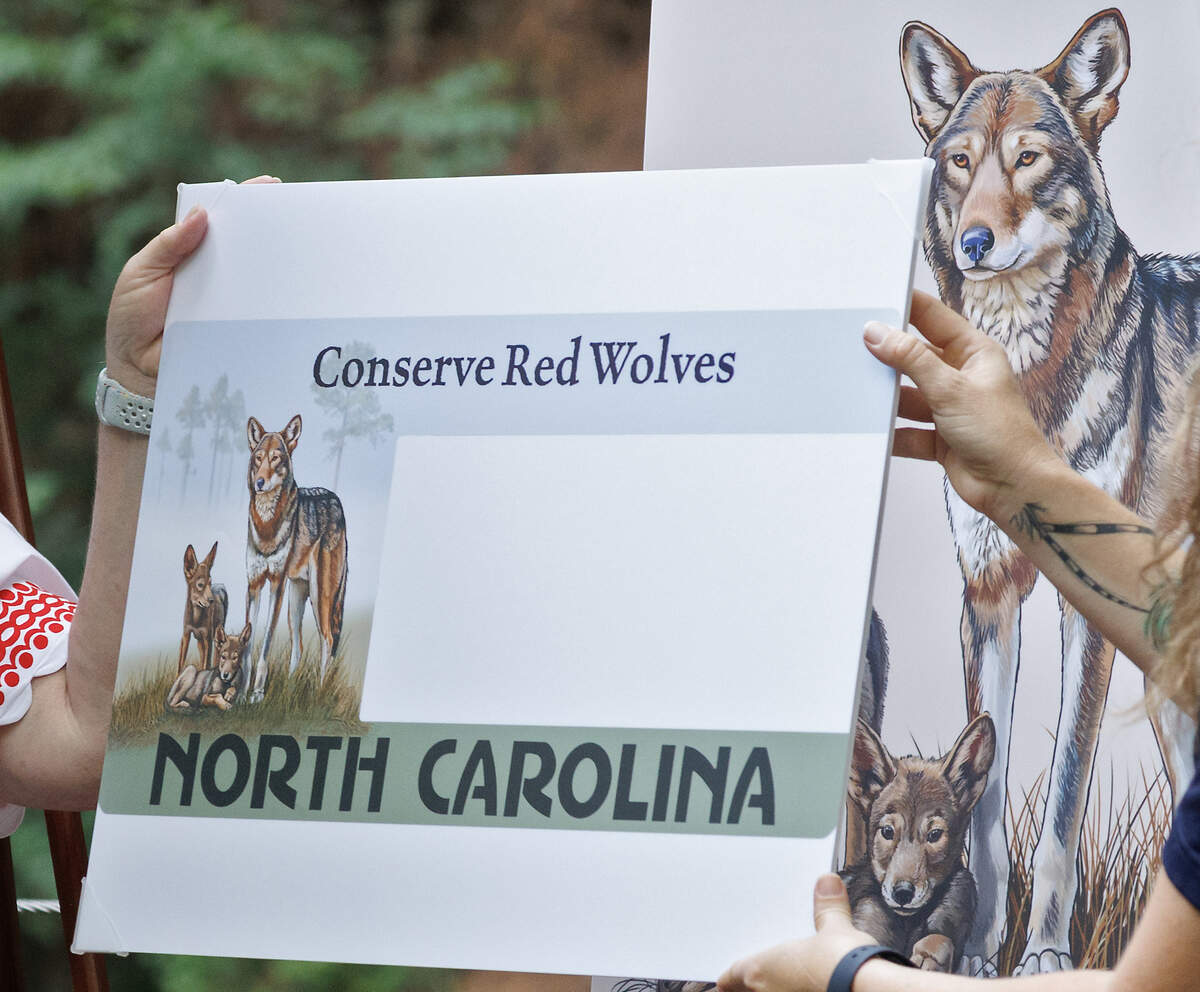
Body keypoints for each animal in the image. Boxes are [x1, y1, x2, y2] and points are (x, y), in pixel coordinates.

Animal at [178, 541, 228, 674]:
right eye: (200, 585)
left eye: (210, 583)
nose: (211, 600)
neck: (195, 619)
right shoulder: (186, 634)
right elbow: (180, 665)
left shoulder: (207, 638)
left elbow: (206, 665)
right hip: (199, 639)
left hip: (215, 633)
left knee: (215, 657)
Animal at [245, 414, 349, 702]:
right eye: (258, 458)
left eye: (276, 458)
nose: (259, 483)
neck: (267, 526)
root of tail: (336, 499)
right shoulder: (253, 584)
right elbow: (247, 644)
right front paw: (236, 694)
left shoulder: (276, 585)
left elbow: (265, 645)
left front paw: (257, 694)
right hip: (296, 599)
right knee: (298, 648)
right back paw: (290, 692)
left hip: (320, 597)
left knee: (328, 641)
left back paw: (319, 694)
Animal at [842, 714, 996, 973]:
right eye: (887, 831)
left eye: (934, 835)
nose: (903, 893)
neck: (908, 924)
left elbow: (939, 939)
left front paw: (927, 957)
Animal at [900, 8, 1200, 973]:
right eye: (962, 162)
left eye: (1028, 158)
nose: (974, 244)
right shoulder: (988, 594)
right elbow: (986, 802)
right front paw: (971, 950)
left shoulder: (1082, 606)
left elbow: (1064, 801)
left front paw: (1042, 957)